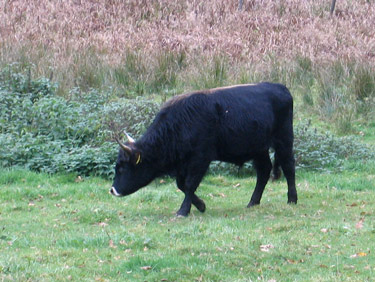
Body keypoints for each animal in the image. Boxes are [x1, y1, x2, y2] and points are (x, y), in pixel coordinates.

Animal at [110, 82, 298, 216]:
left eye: (122, 167)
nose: (112, 190)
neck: (180, 123)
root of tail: (280, 87)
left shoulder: (200, 158)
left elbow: (189, 184)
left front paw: (183, 211)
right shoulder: (183, 163)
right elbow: (181, 184)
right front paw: (200, 205)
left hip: (284, 141)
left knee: (289, 167)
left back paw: (292, 199)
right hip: (259, 149)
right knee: (264, 171)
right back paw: (253, 202)